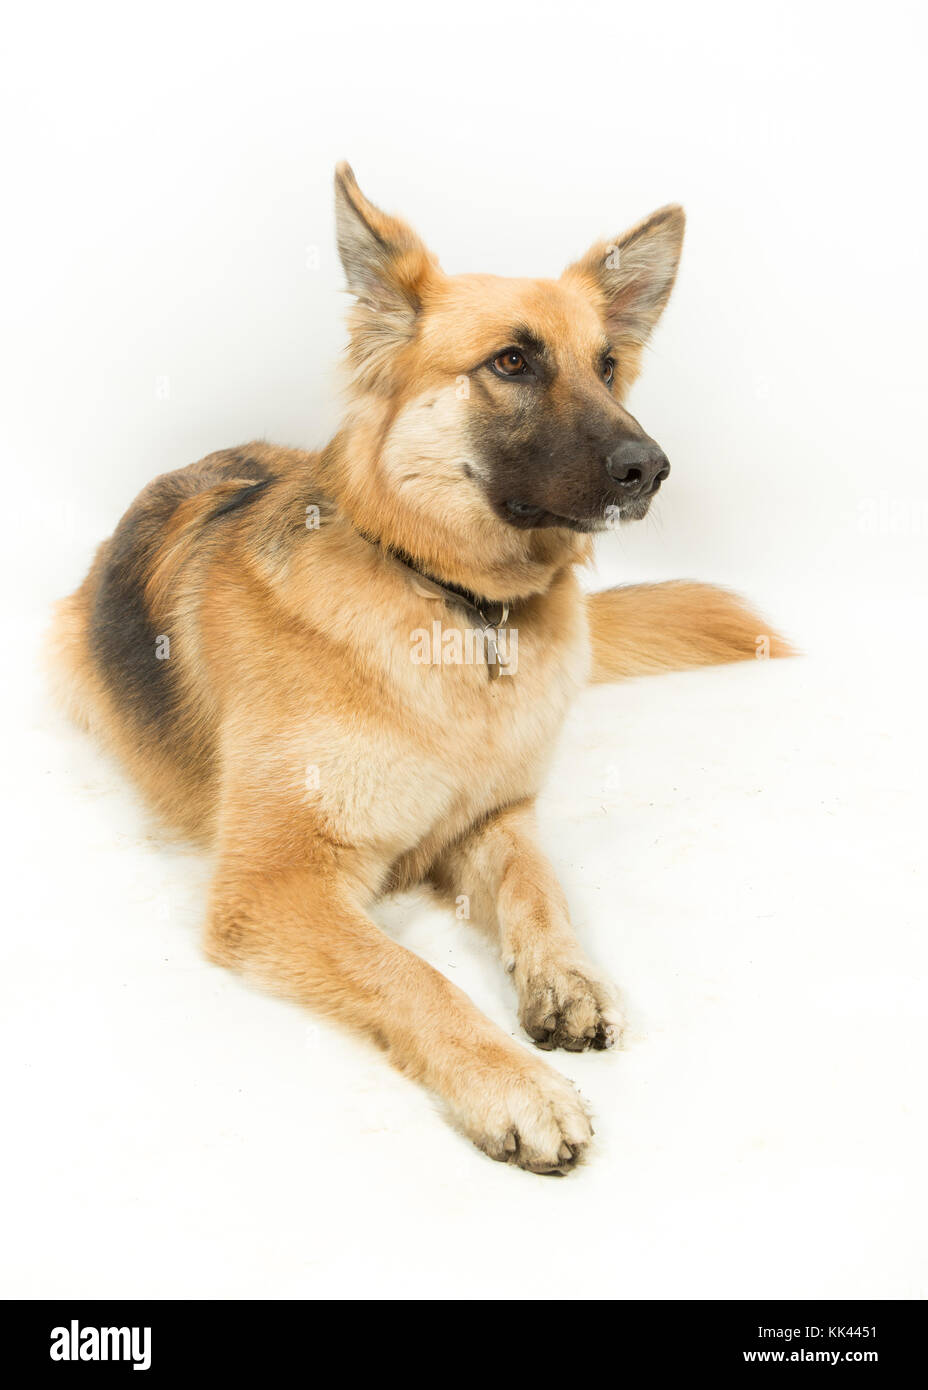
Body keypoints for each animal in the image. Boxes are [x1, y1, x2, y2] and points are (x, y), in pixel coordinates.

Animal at [48, 168, 789, 1178]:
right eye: (511, 362)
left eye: (606, 368)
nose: (653, 468)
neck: (459, 608)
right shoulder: (275, 883)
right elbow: (410, 972)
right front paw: (515, 1086)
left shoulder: (493, 816)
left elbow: (538, 887)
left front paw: (566, 976)